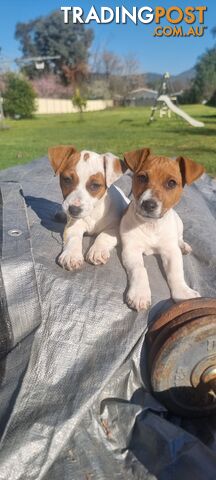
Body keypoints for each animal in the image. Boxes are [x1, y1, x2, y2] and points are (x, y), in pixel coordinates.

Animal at [48, 144, 126, 272]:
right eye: (67, 180)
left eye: (95, 185)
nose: (73, 210)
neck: (93, 212)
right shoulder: (73, 226)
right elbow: (74, 239)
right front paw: (71, 255)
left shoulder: (115, 229)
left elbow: (103, 236)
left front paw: (97, 250)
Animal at [120, 151, 205, 316]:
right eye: (142, 177)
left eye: (171, 183)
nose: (148, 204)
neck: (151, 225)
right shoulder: (131, 249)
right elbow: (139, 269)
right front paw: (139, 294)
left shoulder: (170, 251)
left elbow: (175, 272)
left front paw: (183, 293)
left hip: (179, 224)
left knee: (180, 238)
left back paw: (184, 246)